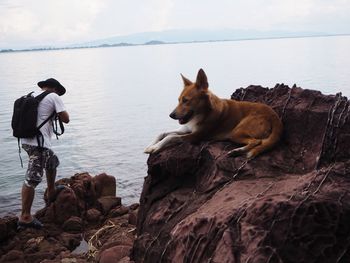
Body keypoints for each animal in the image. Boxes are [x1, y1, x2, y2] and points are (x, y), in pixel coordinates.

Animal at [144, 68, 284, 159]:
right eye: (178, 100)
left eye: (186, 100)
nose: (171, 115)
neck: (202, 113)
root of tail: (274, 115)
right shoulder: (187, 129)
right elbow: (163, 133)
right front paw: (150, 145)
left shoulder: (196, 136)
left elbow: (171, 137)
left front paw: (155, 148)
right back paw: (237, 151)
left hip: (237, 131)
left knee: (257, 141)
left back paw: (238, 151)